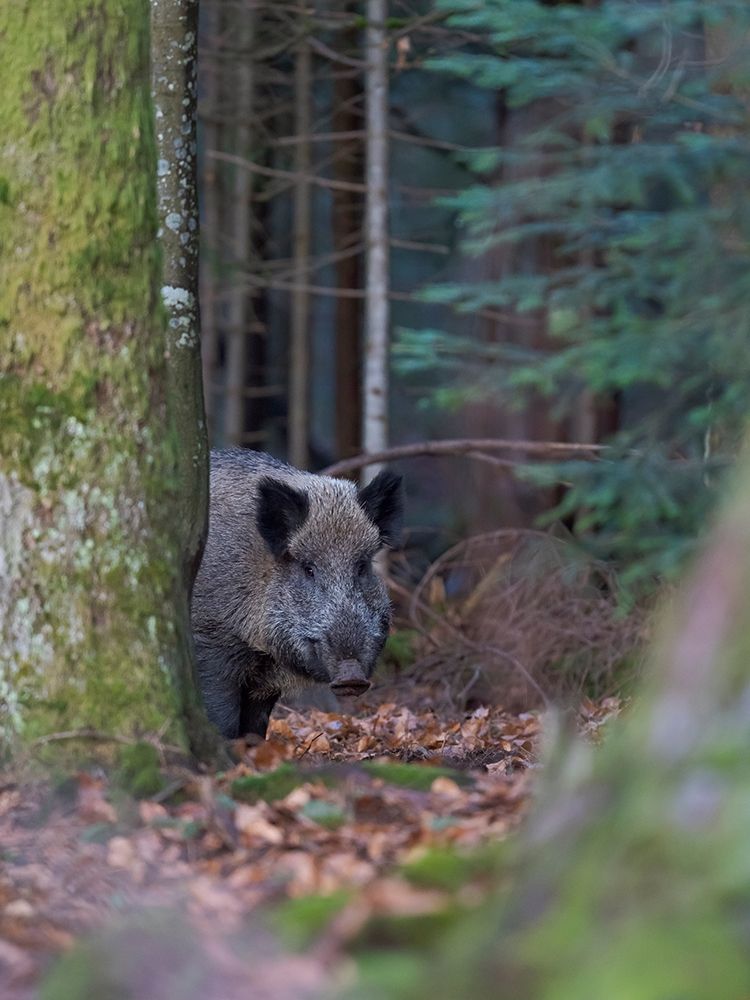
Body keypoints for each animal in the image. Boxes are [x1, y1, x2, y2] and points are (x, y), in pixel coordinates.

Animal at [191, 449, 404, 739]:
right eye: (308, 568)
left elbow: (254, 727)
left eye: (361, 567)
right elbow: (222, 718)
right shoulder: (211, 641)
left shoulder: (264, 683)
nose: (351, 675)